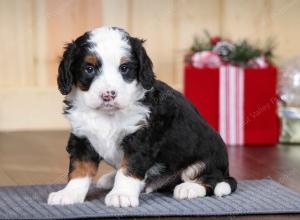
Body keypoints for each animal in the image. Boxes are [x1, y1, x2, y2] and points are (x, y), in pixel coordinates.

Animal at [47, 26, 237, 207]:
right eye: (89, 68)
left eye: (124, 68)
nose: (108, 95)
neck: (108, 115)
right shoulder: (82, 137)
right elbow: (79, 170)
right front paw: (69, 194)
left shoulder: (141, 139)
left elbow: (128, 170)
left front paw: (121, 195)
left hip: (208, 159)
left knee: (212, 179)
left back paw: (189, 188)